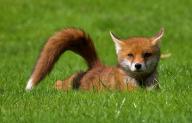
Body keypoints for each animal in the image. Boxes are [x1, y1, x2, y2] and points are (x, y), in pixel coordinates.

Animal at [25, 28, 164, 91]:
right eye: (130, 55)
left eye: (146, 54)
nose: (138, 65)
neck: (140, 82)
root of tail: (96, 66)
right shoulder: (129, 90)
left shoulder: (153, 88)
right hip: (68, 85)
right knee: (58, 83)